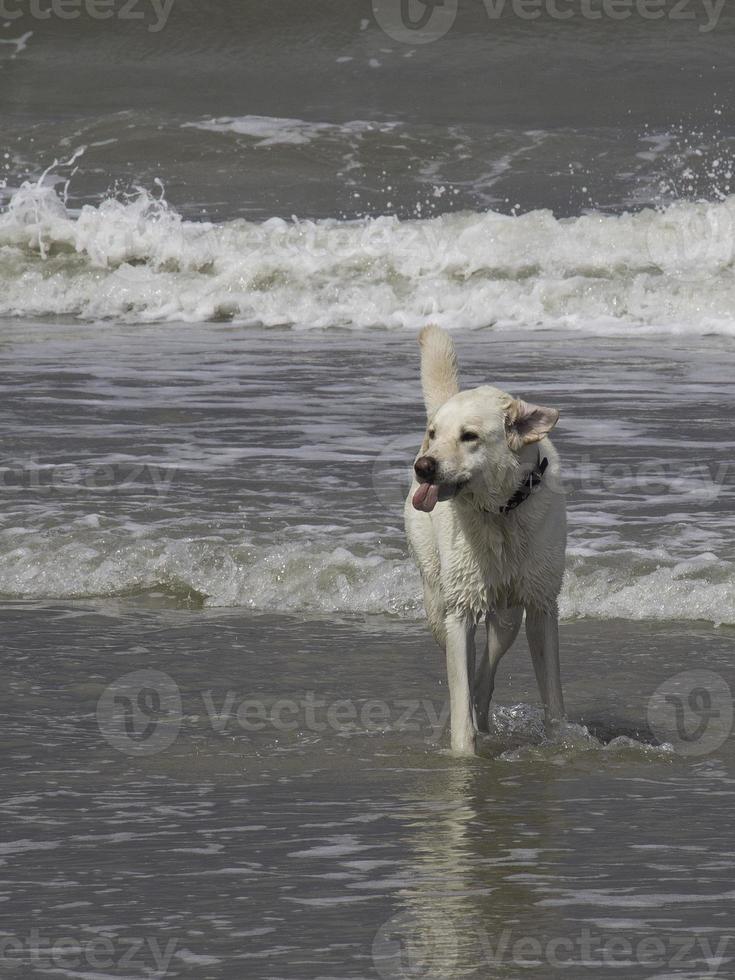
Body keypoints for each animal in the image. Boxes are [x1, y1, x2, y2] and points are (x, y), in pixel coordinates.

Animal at [406, 326, 568, 756]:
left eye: (470, 436)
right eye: (435, 434)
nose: (423, 466)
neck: (501, 514)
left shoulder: (541, 605)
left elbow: (553, 695)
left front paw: (560, 743)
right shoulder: (460, 609)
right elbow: (460, 686)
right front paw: (464, 754)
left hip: (507, 613)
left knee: (485, 668)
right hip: (439, 599)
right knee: (463, 662)